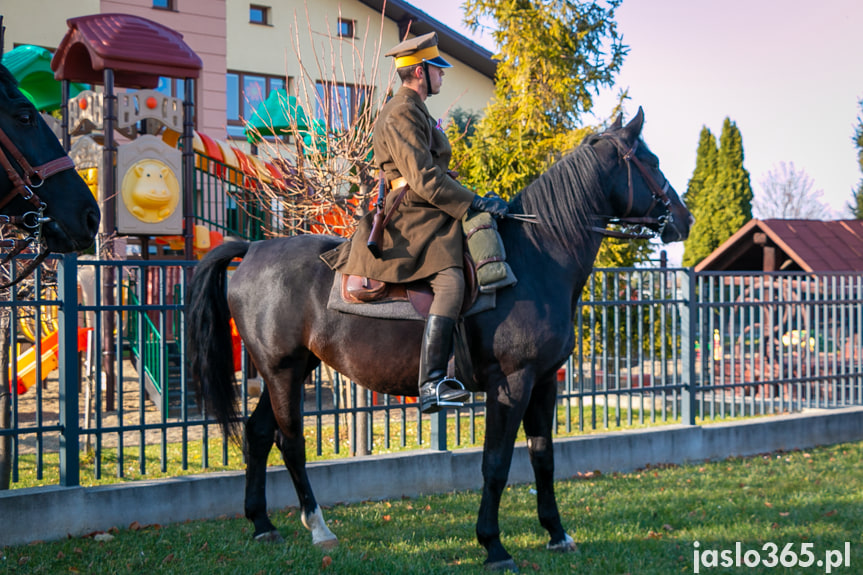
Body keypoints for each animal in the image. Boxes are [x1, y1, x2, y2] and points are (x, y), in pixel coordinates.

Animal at [187, 109, 696, 572]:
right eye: (650, 160)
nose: (684, 218)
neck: (536, 258)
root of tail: (253, 247)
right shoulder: (512, 384)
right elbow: (496, 464)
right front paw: (493, 546)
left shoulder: (544, 382)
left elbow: (543, 458)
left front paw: (556, 533)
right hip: (282, 371)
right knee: (290, 441)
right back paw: (319, 528)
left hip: (293, 368)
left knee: (258, 434)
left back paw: (262, 524)